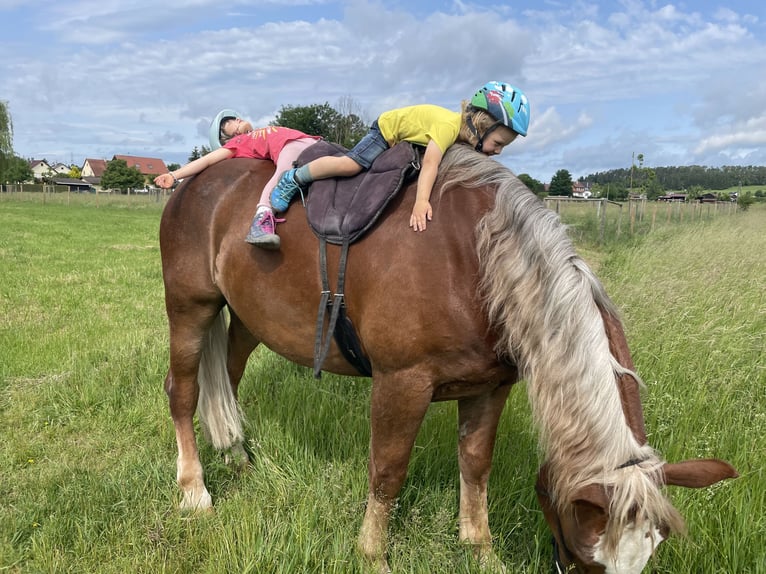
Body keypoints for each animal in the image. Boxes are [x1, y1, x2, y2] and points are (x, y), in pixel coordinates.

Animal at [159, 145, 737, 573]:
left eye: (650, 555)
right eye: (586, 552)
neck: (479, 260)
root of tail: (194, 181)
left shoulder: (489, 388)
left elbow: (475, 466)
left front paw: (480, 550)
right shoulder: (401, 384)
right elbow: (388, 471)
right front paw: (372, 555)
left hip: (245, 319)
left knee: (226, 384)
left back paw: (235, 456)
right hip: (191, 307)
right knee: (183, 390)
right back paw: (194, 491)